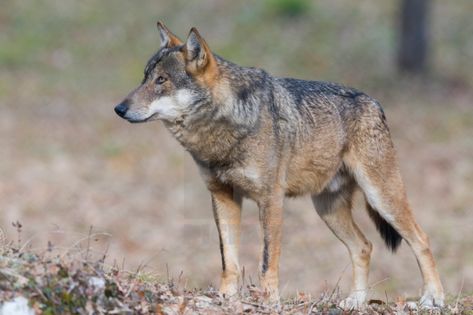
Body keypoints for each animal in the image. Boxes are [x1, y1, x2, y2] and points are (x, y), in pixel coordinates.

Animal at [113, 22, 442, 312]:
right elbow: (228, 259)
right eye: (145, 77)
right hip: (328, 210)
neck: (225, 127)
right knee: (364, 247)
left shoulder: (271, 200)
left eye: (161, 80)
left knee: (422, 239)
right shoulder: (222, 196)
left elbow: (267, 259)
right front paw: (225, 298)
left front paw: (269, 302)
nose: (119, 108)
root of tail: (376, 104)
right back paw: (356, 301)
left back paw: (432, 299)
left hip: (381, 198)